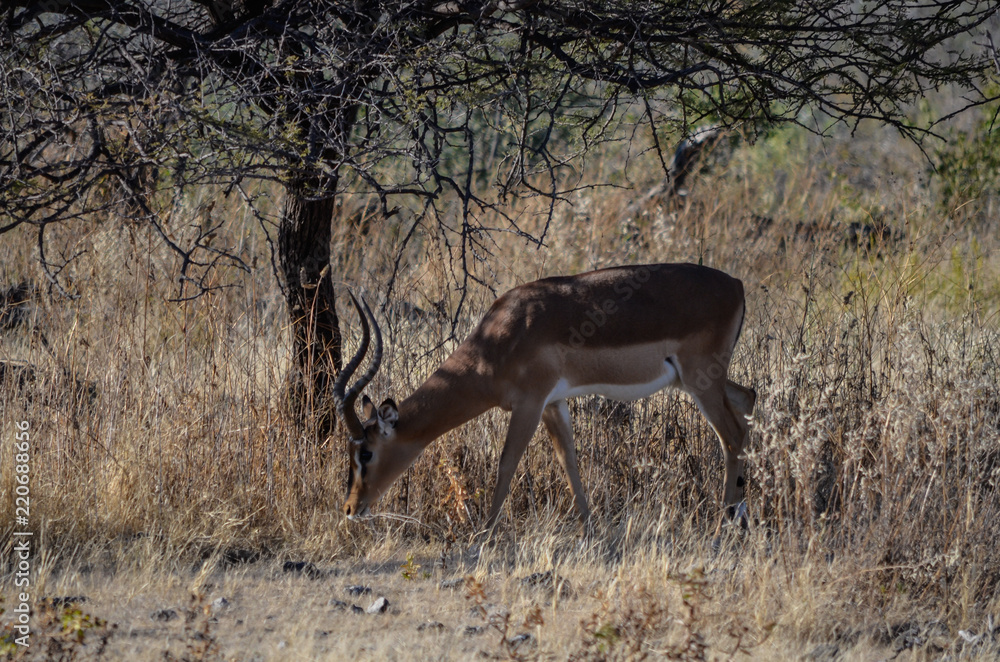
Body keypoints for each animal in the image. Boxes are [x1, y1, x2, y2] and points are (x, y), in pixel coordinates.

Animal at [334, 263, 756, 531]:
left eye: (365, 453)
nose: (350, 507)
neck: (500, 340)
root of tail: (736, 284)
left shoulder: (530, 404)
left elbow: (506, 464)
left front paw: (482, 536)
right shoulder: (554, 403)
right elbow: (569, 461)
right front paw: (591, 532)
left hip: (700, 382)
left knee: (732, 436)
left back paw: (725, 525)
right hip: (699, 381)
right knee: (748, 399)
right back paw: (741, 514)